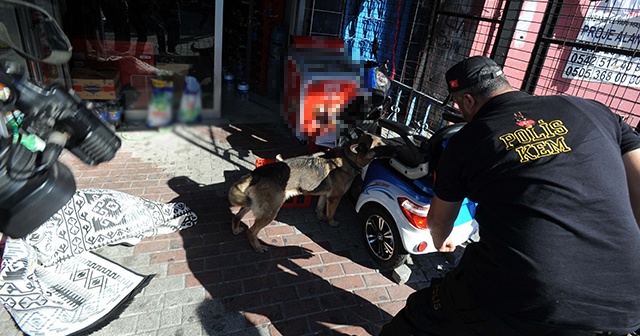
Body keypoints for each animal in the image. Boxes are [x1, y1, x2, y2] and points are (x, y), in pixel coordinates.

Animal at [225, 133, 396, 253]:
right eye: (379, 145)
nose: (396, 148)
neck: (348, 158)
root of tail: (257, 173)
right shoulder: (334, 198)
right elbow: (331, 213)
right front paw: (331, 222)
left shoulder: (324, 195)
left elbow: (320, 207)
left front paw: (320, 216)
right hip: (270, 212)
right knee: (252, 231)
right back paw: (258, 247)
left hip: (250, 203)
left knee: (236, 216)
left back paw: (235, 229)